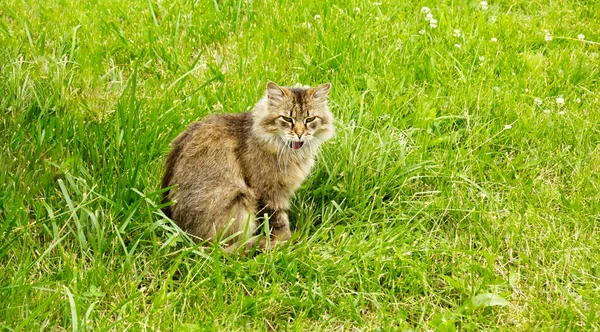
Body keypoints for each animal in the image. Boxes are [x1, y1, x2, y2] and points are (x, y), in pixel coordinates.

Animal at [162, 81, 336, 250]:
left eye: (310, 119)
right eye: (287, 119)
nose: (300, 134)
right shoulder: (267, 191)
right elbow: (278, 221)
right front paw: (286, 241)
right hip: (238, 200)